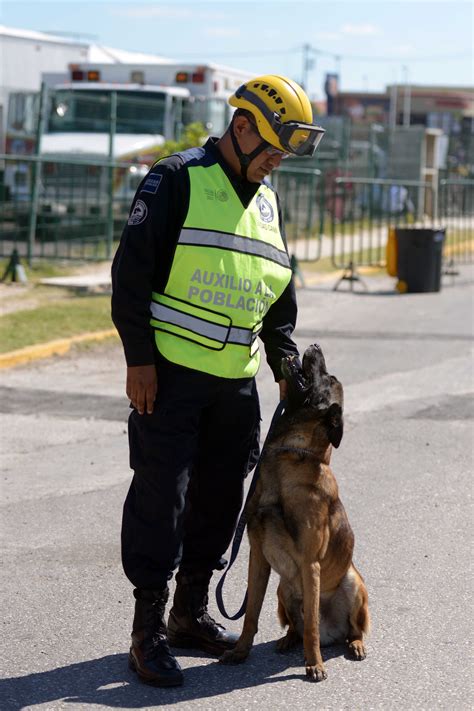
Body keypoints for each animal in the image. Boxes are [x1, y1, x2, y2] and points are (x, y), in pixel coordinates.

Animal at [220, 344, 368, 684]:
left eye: (330, 378)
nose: (314, 346)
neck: (290, 454)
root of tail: (333, 635)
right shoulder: (258, 557)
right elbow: (250, 614)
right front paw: (240, 652)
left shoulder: (310, 563)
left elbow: (311, 626)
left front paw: (314, 664)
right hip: (283, 589)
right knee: (295, 626)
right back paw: (287, 640)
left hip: (354, 583)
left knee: (346, 629)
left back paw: (354, 645)